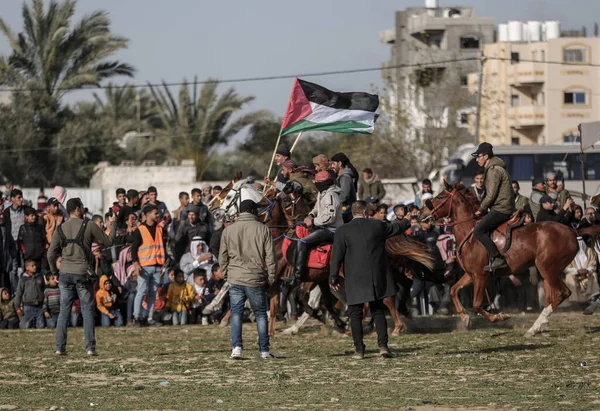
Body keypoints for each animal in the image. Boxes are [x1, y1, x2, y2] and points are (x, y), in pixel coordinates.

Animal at [424, 181, 580, 338]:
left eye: (440, 197)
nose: (422, 213)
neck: (470, 237)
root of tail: (571, 232)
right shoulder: (471, 275)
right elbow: (453, 290)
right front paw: (465, 316)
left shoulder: (480, 276)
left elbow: (476, 304)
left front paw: (499, 316)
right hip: (548, 272)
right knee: (551, 298)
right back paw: (538, 326)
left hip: (548, 269)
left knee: (562, 293)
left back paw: (534, 328)